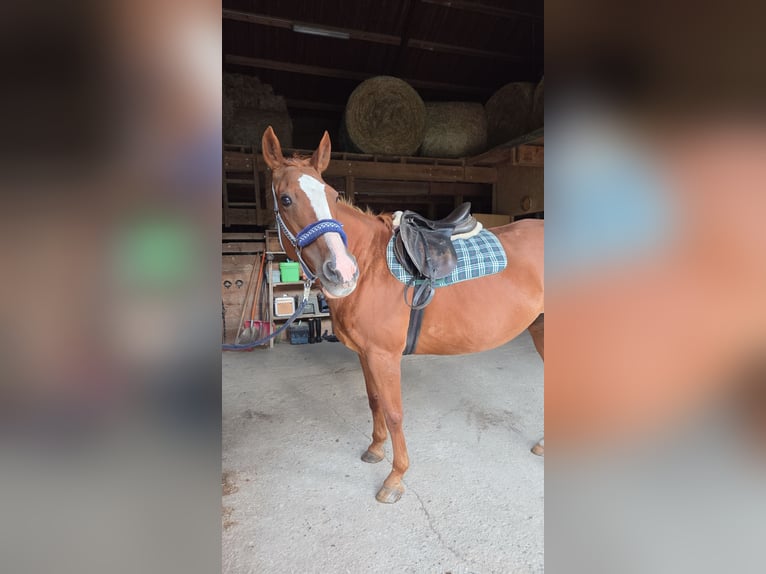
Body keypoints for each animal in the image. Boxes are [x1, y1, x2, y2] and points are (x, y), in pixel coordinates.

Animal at [261, 126, 544, 503]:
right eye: (287, 199)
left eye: (333, 196)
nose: (342, 271)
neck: (369, 265)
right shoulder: (366, 355)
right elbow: (374, 402)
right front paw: (375, 450)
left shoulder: (384, 356)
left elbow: (394, 412)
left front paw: (395, 478)